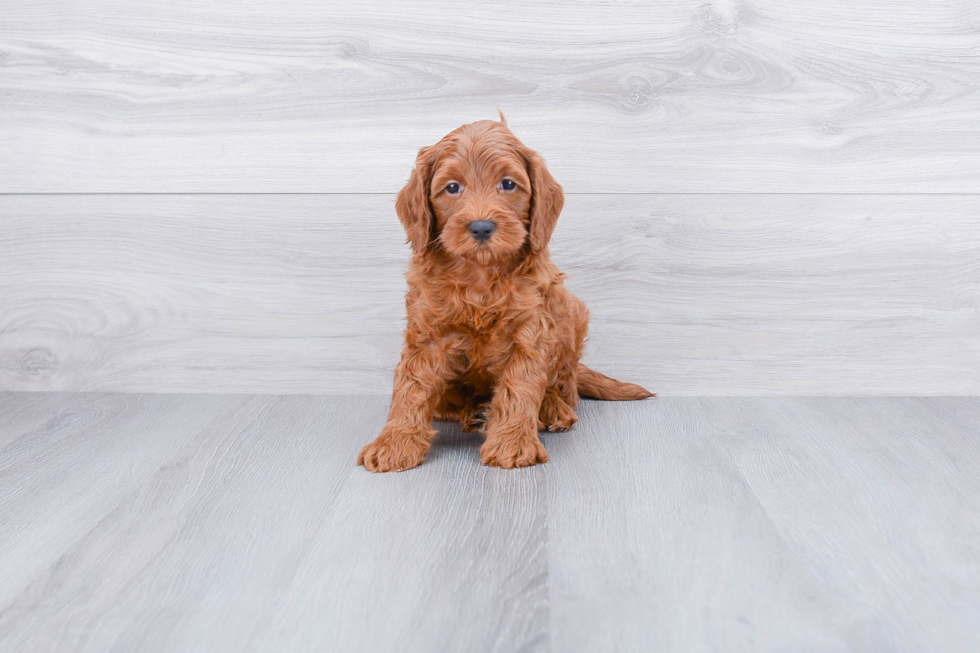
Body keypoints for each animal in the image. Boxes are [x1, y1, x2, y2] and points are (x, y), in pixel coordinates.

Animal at [358, 117, 652, 472]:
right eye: (452, 188)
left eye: (508, 184)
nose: (481, 227)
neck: (481, 274)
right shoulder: (427, 332)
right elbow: (410, 386)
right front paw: (395, 442)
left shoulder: (529, 331)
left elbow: (520, 387)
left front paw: (511, 443)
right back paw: (474, 410)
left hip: (572, 314)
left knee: (567, 386)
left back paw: (551, 408)